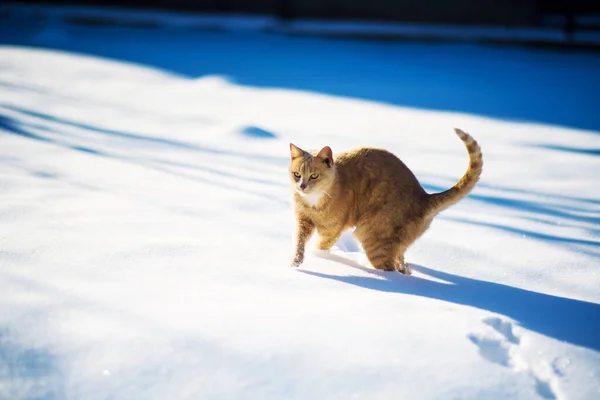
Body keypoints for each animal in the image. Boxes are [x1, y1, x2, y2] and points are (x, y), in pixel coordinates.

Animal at [288, 128, 482, 276]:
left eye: (314, 176)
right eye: (297, 174)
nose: (302, 186)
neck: (314, 201)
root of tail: (424, 197)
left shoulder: (332, 230)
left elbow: (322, 245)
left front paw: (319, 256)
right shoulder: (303, 220)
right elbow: (299, 240)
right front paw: (296, 260)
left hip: (371, 234)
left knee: (390, 269)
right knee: (401, 262)